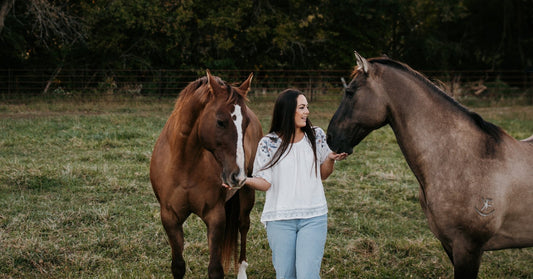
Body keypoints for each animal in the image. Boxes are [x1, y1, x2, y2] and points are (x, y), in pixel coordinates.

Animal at [150, 71, 262, 279]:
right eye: (220, 122)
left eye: (246, 123)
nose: (237, 176)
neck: (185, 164)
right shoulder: (170, 218)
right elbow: (178, 266)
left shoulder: (215, 217)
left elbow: (215, 269)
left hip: (247, 193)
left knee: (243, 225)